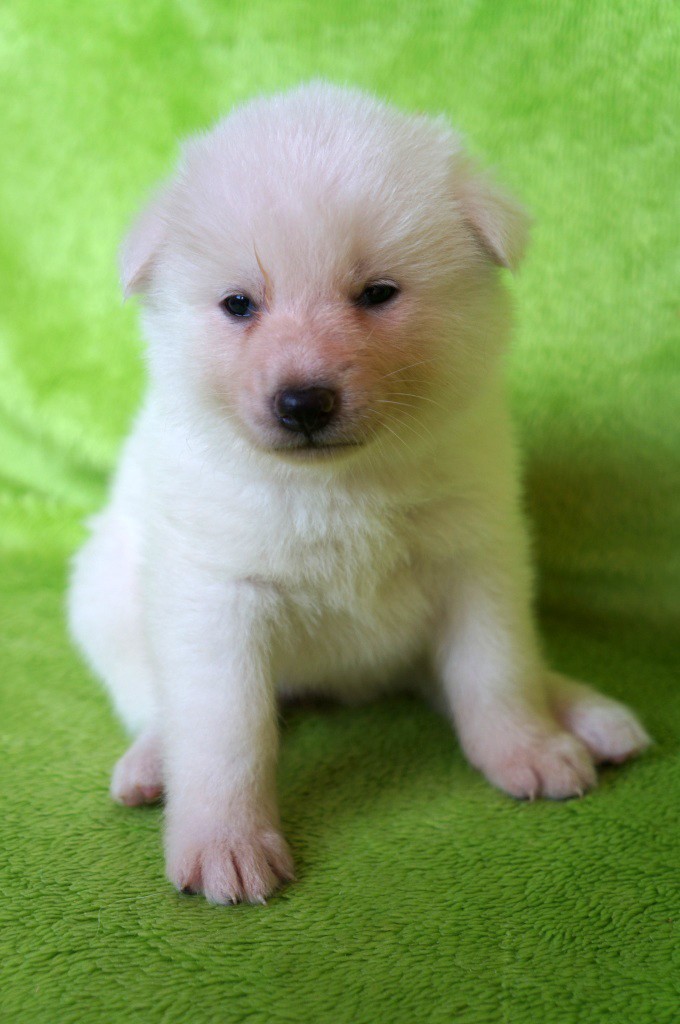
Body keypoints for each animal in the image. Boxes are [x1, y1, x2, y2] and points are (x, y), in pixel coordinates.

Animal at [68, 82, 650, 904]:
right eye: (239, 304)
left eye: (378, 293)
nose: (302, 403)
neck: (337, 485)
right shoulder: (217, 595)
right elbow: (224, 730)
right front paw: (225, 843)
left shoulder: (477, 560)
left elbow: (495, 673)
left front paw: (527, 749)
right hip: (105, 598)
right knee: (153, 701)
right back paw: (152, 764)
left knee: (505, 670)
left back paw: (589, 716)